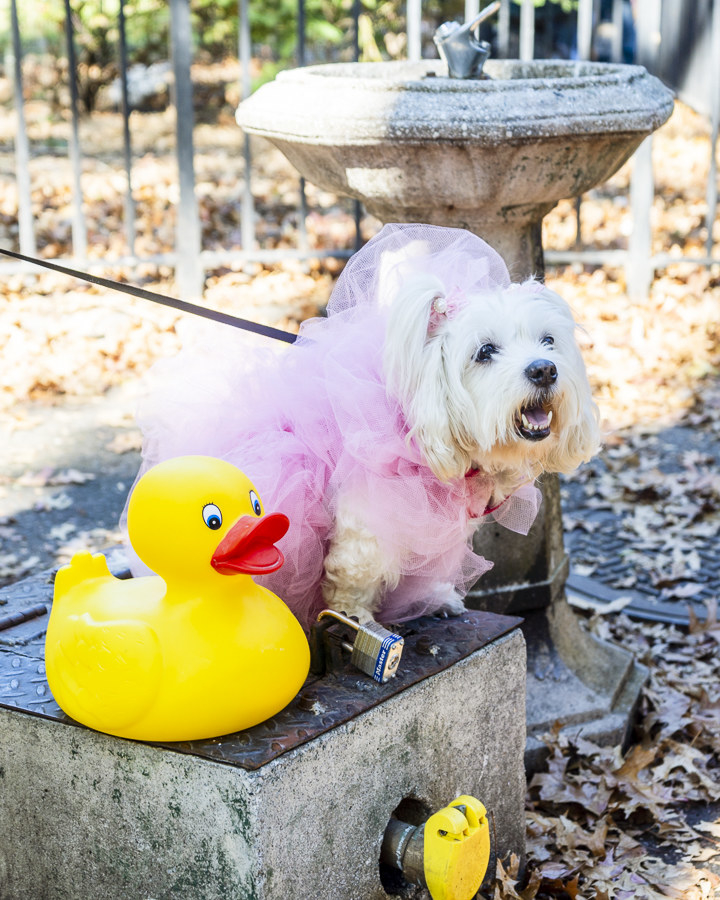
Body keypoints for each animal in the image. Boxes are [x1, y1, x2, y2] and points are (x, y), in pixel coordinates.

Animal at [131, 224, 600, 628]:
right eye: (485, 352)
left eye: (548, 341)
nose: (543, 370)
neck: (412, 409)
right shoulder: (368, 519)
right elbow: (356, 576)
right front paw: (353, 620)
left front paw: (431, 598)